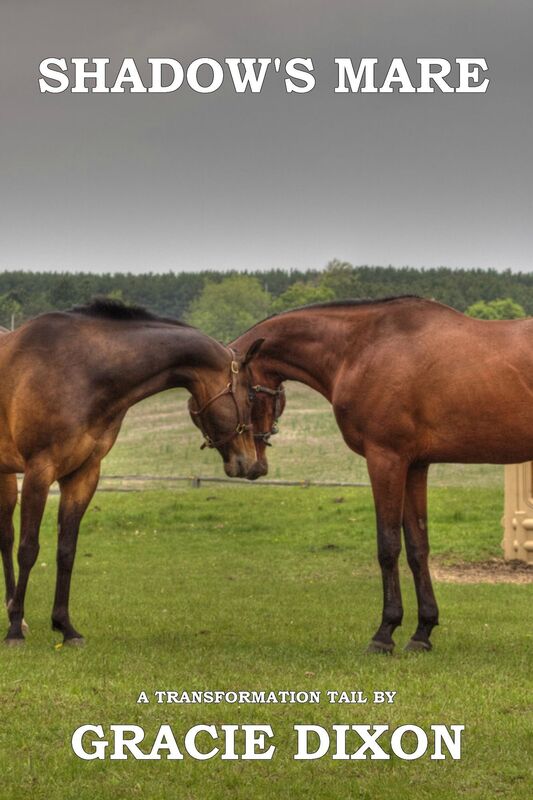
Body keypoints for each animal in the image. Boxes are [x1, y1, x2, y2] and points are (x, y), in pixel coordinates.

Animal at [0, 300, 261, 646]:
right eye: (250, 396)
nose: (250, 463)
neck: (79, 371)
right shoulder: (39, 471)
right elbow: (28, 549)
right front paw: (15, 629)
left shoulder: (84, 474)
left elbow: (66, 550)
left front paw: (65, 627)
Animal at [230, 295, 533, 653]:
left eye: (243, 394)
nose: (250, 465)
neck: (361, 349)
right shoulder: (414, 466)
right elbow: (417, 548)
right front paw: (422, 631)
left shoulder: (385, 459)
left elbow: (388, 546)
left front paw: (385, 632)